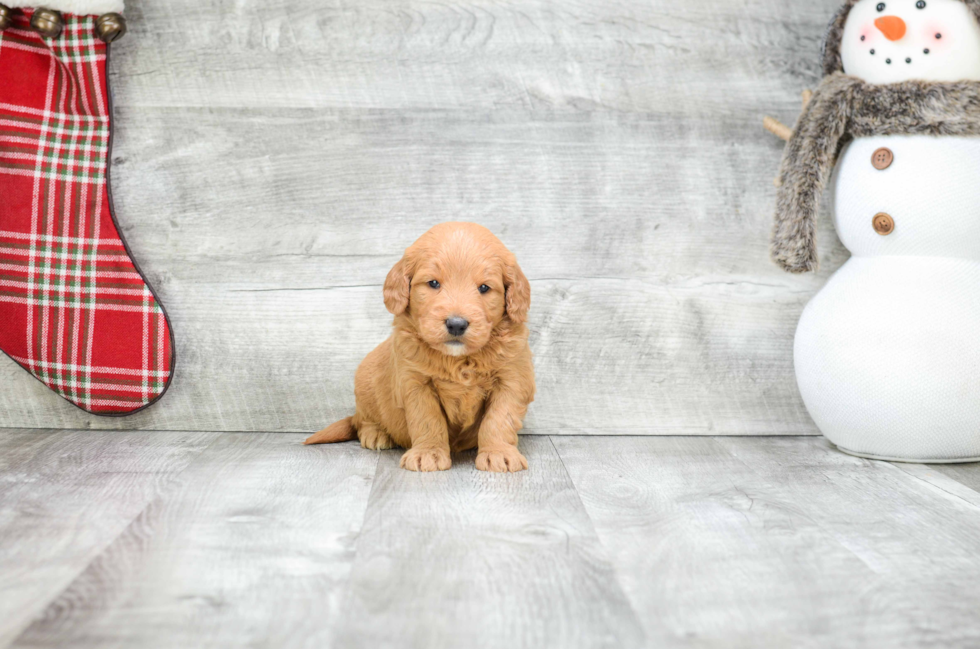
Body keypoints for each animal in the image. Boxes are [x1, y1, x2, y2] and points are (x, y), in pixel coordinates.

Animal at [306, 223, 536, 470]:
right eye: (433, 283)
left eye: (484, 288)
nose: (456, 324)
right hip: (364, 382)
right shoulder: (415, 383)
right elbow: (427, 419)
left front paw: (499, 453)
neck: (458, 359)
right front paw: (429, 453)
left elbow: (499, 419)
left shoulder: (512, 380)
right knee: (362, 420)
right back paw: (376, 434)